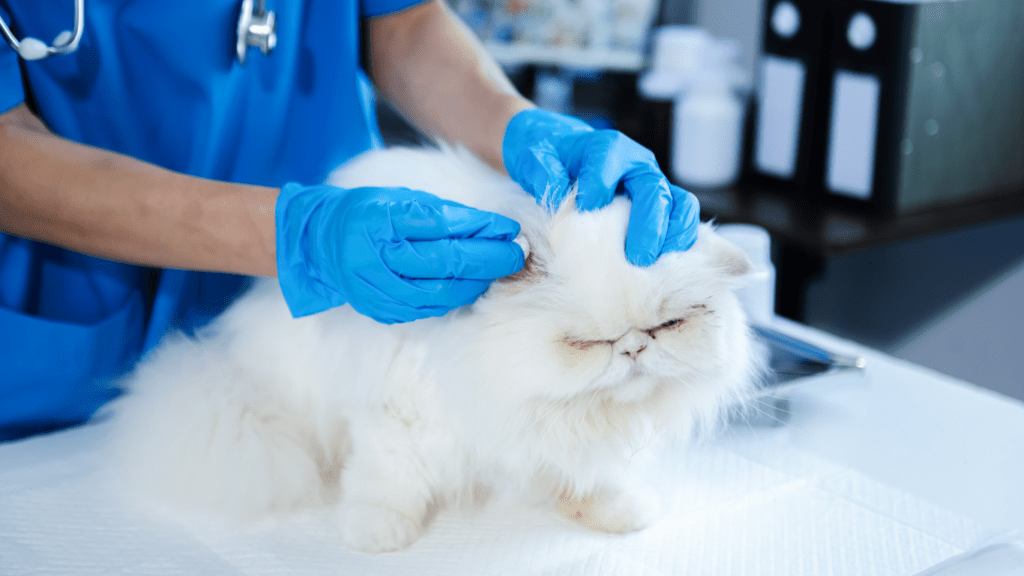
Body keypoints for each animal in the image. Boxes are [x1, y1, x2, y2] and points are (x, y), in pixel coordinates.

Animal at [108, 144, 761, 553]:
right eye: (585, 342)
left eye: (668, 326)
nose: (632, 349)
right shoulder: (400, 416)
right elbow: (388, 481)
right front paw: (376, 535)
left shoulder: (555, 435)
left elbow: (583, 478)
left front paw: (615, 511)